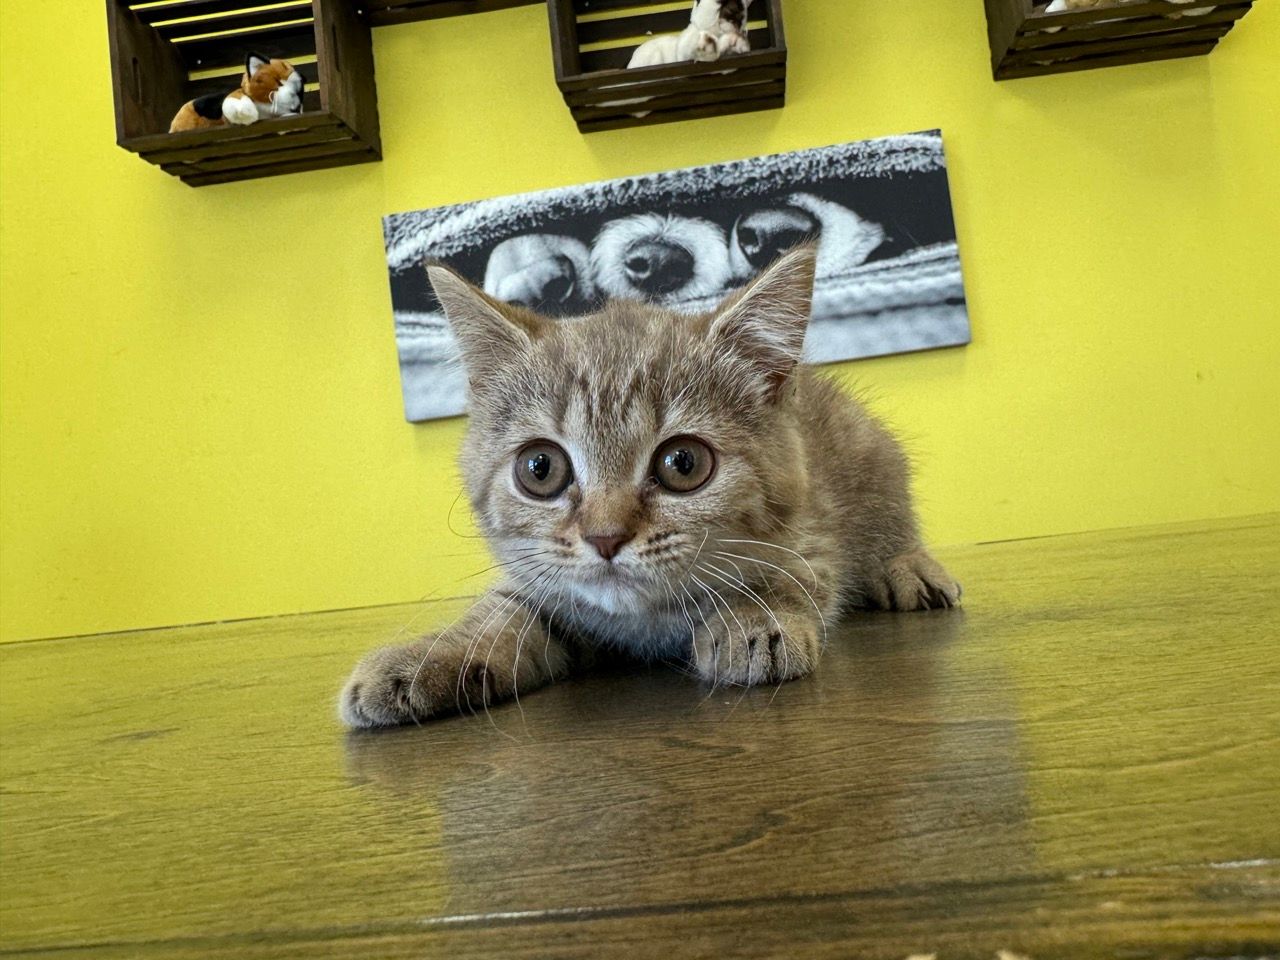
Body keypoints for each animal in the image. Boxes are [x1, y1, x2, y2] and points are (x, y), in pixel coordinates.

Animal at [340, 245, 962, 727]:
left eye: (682, 463)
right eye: (540, 468)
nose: (605, 536)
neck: (647, 621)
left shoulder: (811, 534)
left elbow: (793, 575)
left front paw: (754, 618)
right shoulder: (540, 584)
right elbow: (501, 615)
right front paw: (426, 658)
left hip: (866, 446)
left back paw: (907, 566)